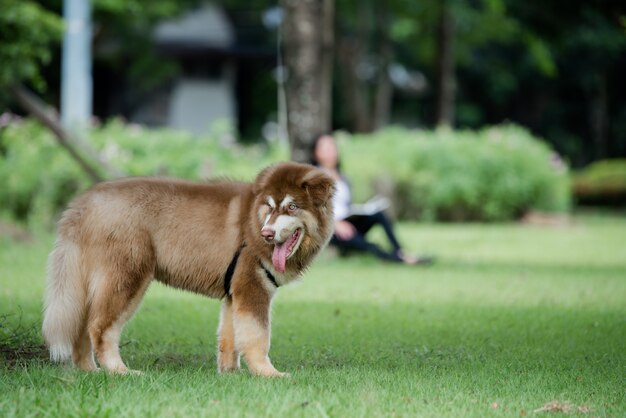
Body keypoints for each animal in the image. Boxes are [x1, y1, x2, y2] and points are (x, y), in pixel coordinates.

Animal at [41, 162, 334, 378]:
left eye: (292, 207)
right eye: (270, 207)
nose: (267, 233)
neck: (252, 220)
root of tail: (85, 202)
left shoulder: (234, 292)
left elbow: (229, 339)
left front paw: (231, 374)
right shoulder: (252, 288)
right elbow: (258, 337)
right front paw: (268, 373)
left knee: (81, 325)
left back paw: (89, 371)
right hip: (126, 278)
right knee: (100, 328)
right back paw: (119, 371)